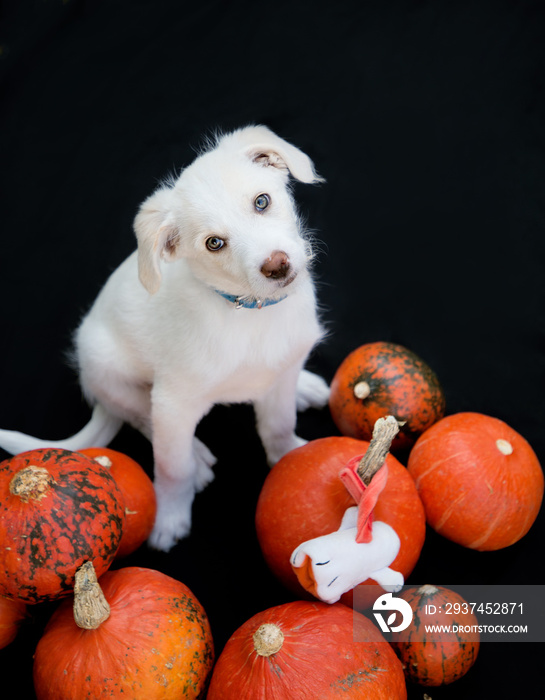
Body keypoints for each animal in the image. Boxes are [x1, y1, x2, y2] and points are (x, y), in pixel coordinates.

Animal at [0, 126, 328, 552]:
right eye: (214, 243)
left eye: (262, 202)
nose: (277, 266)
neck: (250, 312)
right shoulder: (173, 402)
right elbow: (172, 467)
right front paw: (170, 515)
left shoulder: (283, 369)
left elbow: (279, 425)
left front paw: (292, 458)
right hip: (106, 368)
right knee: (140, 413)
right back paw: (197, 455)